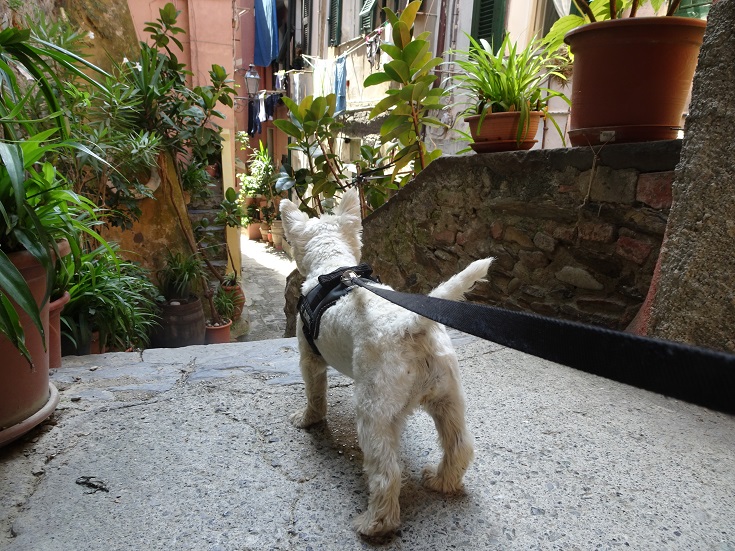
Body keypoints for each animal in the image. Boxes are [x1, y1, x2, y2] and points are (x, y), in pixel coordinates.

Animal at [282, 191, 494, 540]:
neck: (333, 267)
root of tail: (412, 325)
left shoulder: (309, 358)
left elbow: (315, 395)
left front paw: (306, 419)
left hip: (373, 411)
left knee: (386, 474)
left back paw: (374, 524)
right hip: (449, 398)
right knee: (459, 445)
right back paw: (441, 481)